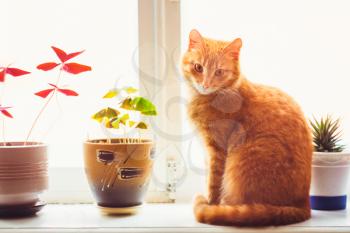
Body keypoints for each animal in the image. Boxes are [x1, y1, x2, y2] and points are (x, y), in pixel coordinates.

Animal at [182, 30, 314, 227]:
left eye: (219, 72)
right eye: (198, 67)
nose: (205, 85)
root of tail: (303, 205)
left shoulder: (217, 151)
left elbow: (213, 182)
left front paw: (211, 204)